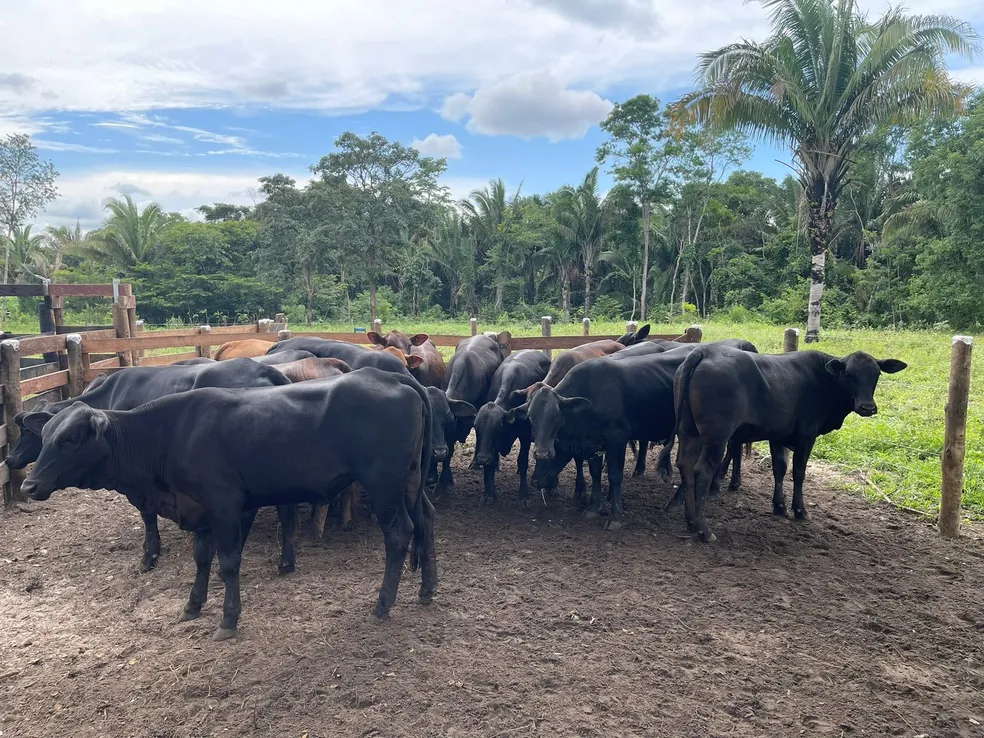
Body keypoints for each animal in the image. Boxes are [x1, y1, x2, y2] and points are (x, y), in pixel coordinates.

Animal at [9, 360, 292, 572]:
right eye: (43, 432)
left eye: (27, 431)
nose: (10, 460)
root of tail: (264, 369)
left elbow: (147, 514)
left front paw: (150, 554)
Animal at [470, 348, 548, 504]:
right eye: (476, 428)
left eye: (497, 429)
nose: (481, 459)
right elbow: (490, 464)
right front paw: (489, 493)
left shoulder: (525, 435)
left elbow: (522, 461)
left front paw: (523, 494)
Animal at [676, 344, 908, 540]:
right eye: (849, 374)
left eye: (876, 374)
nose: (868, 407)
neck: (824, 380)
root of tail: (704, 351)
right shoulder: (807, 435)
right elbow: (798, 472)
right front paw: (800, 510)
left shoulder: (777, 435)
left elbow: (779, 469)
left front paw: (779, 506)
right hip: (716, 437)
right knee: (702, 472)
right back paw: (704, 529)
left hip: (689, 431)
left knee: (685, 465)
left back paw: (690, 519)